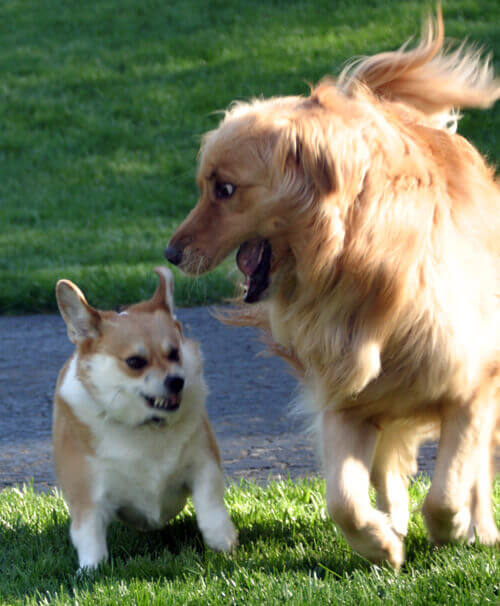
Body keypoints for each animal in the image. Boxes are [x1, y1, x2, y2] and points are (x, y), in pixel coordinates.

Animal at [52, 268, 238, 572]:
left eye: (174, 353)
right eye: (135, 362)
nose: (176, 381)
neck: (146, 427)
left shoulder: (204, 465)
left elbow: (209, 504)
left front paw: (221, 540)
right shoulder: (87, 498)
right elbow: (89, 536)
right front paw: (91, 571)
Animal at [166, 9, 498, 568]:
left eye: (225, 189)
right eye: (203, 186)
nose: (170, 253)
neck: (357, 264)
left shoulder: (473, 384)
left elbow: (450, 486)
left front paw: (454, 529)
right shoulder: (345, 395)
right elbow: (343, 501)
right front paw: (382, 543)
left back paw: (479, 529)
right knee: (387, 468)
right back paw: (395, 517)